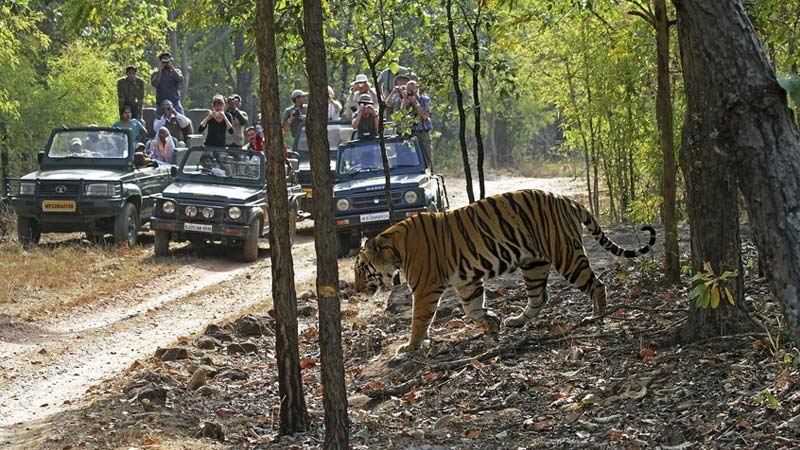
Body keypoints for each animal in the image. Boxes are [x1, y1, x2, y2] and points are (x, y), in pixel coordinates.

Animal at [354, 188, 652, 354]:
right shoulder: (466, 281)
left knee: (597, 284)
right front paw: (492, 322)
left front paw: (410, 347)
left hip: (565, 255)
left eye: (360, 269)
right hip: (533, 264)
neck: (394, 249)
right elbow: (471, 307)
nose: (356, 290)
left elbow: (419, 319)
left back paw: (596, 316)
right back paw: (516, 321)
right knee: (539, 297)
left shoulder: (426, 288)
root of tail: (567, 199)